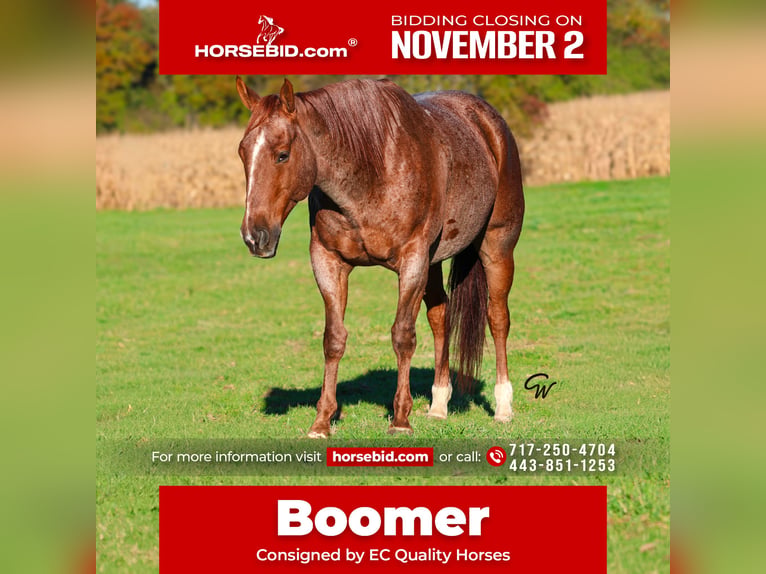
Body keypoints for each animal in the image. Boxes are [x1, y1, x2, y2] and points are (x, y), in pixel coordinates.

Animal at [235, 77, 524, 437]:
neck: (372, 171)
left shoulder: (412, 260)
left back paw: (503, 407)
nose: (254, 236)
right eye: (243, 152)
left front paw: (400, 420)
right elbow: (334, 339)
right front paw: (322, 421)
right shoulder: (328, 260)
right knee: (440, 316)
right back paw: (439, 405)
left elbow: (402, 336)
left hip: (496, 246)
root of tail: (488, 120)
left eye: (282, 155)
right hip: (433, 262)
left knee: (497, 318)